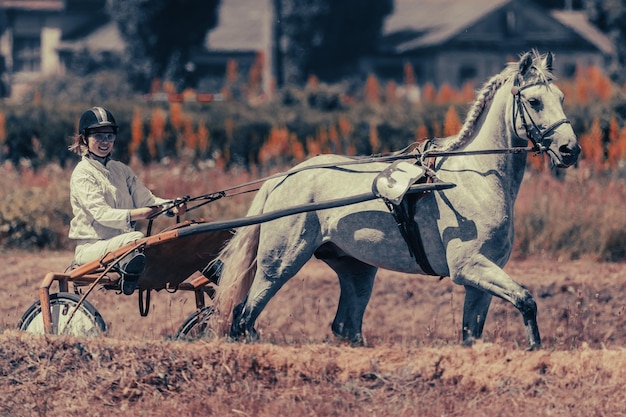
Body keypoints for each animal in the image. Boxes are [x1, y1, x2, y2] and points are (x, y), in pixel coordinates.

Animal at [213, 51, 580, 352]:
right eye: (534, 101)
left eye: (562, 97)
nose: (570, 150)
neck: (476, 176)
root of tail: (283, 178)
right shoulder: (469, 267)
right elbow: (527, 300)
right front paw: (534, 347)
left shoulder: (482, 277)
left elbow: (473, 332)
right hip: (279, 265)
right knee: (244, 317)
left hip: (357, 270)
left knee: (345, 326)